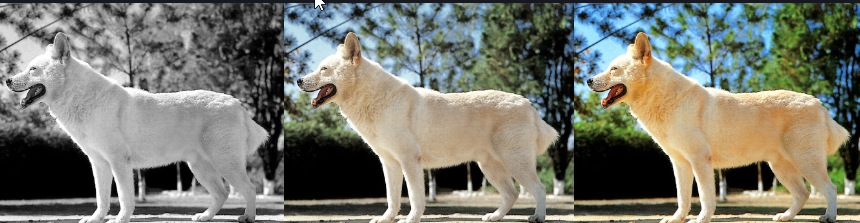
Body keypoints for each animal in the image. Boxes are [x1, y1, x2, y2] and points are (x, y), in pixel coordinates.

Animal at [5, 32, 268, 223]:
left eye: (32, 69)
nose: (6, 80)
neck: (82, 98)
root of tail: (237, 104)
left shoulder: (119, 162)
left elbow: (124, 197)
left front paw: (120, 219)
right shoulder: (99, 164)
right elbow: (101, 198)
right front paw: (95, 219)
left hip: (225, 164)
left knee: (250, 188)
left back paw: (248, 217)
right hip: (199, 168)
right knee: (223, 193)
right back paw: (204, 217)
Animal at [298, 31, 560, 223]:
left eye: (323, 69)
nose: (298, 80)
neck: (374, 99)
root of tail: (528, 105)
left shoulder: (409, 160)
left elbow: (415, 197)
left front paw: (411, 220)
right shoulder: (389, 163)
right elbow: (392, 198)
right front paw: (386, 219)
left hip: (515, 163)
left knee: (539, 189)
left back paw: (538, 217)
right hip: (490, 168)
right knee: (512, 194)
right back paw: (494, 217)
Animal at [588, 31, 848, 223]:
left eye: (613, 69)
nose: (588, 80)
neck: (666, 99)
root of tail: (819, 104)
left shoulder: (700, 160)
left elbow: (705, 197)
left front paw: (701, 219)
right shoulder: (680, 164)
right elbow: (682, 198)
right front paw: (676, 219)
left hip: (806, 162)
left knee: (831, 188)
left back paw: (829, 217)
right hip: (781, 168)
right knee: (804, 193)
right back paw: (785, 216)